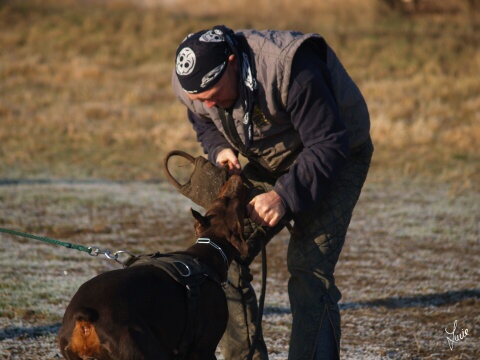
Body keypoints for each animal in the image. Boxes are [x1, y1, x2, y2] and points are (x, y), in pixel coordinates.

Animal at [57, 173, 248, 358]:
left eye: (220, 199)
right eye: (235, 202)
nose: (236, 177)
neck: (208, 251)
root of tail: (84, 318)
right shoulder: (203, 349)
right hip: (142, 347)